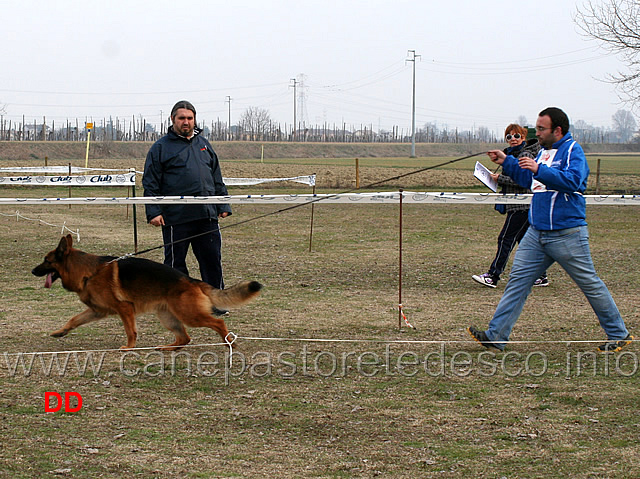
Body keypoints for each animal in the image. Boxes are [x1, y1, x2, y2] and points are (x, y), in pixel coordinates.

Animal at [31, 234, 262, 350]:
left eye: (46, 261)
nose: (32, 271)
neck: (89, 271)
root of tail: (191, 280)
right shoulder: (97, 311)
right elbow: (74, 320)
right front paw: (60, 332)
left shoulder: (124, 309)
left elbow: (130, 331)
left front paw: (129, 348)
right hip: (168, 317)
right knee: (184, 339)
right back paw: (168, 348)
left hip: (189, 315)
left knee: (218, 323)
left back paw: (229, 342)